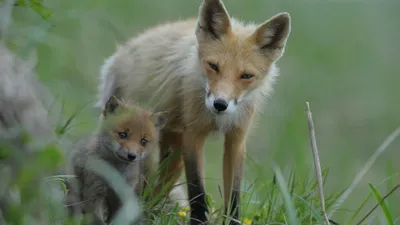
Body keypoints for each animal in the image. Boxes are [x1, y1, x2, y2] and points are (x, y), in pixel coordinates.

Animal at [95, 0, 292, 223]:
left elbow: (234, 195)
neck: (217, 119)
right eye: (213, 66)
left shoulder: (236, 139)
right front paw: (199, 221)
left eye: (246, 76)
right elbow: (197, 191)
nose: (220, 104)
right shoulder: (192, 135)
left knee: (157, 191)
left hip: (172, 157)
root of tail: (117, 56)